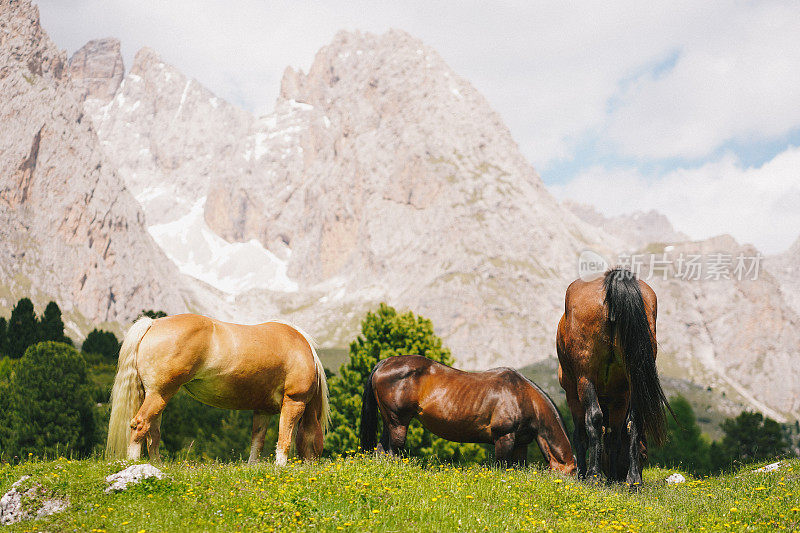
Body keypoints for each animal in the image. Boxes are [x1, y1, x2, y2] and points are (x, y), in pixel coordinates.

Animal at [106, 314, 328, 464]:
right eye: (320, 442)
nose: (312, 465)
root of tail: (153, 323)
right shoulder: (294, 402)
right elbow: (284, 440)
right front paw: (280, 469)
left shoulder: (262, 410)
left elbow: (257, 442)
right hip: (160, 394)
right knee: (140, 425)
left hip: (156, 396)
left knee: (153, 433)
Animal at [360, 356, 576, 472]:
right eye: (573, 472)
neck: (522, 396)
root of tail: (385, 363)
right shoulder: (504, 437)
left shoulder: (521, 444)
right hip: (398, 422)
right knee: (392, 452)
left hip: (390, 422)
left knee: (382, 450)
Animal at [556, 266, 676, 486]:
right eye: (644, 456)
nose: (620, 475)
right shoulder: (620, 396)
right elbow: (614, 436)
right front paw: (611, 476)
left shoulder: (572, 392)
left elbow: (582, 434)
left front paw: (584, 474)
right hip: (633, 382)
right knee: (633, 421)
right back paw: (634, 481)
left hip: (585, 379)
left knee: (594, 419)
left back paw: (593, 476)